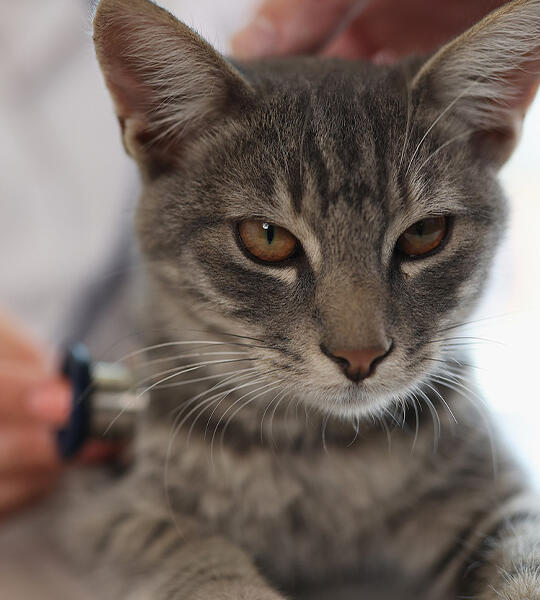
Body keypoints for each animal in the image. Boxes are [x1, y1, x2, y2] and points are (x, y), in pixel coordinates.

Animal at [57, 0, 536, 596]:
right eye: (267, 238)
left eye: (426, 234)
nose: (360, 356)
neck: (320, 451)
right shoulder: (94, 513)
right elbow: (187, 549)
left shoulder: (494, 493)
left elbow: (524, 559)